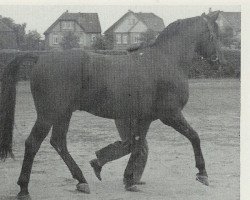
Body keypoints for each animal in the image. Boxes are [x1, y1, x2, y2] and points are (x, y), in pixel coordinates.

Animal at [0, 12, 225, 198]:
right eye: (214, 33)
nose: (219, 60)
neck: (166, 60)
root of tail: (42, 58)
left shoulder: (145, 118)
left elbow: (136, 144)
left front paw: (127, 178)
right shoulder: (170, 115)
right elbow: (194, 136)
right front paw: (202, 174)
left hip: (63, 114)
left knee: (58, 142)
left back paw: (81, 181)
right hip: (48, 114)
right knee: (33, 144)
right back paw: (24, 189)